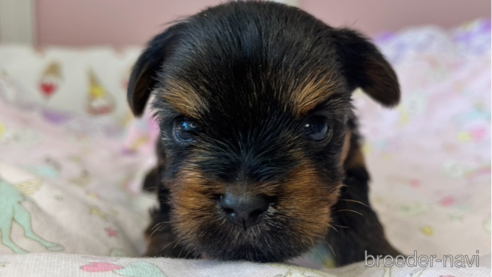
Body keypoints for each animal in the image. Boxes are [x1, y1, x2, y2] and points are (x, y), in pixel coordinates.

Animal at [127, 1, 400, 266]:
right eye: (184, 127)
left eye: (317, 126)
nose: (243, 207)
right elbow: (167, 209)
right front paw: (163, 252)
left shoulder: (352, 161)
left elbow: (358, 208)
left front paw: (377, 253)